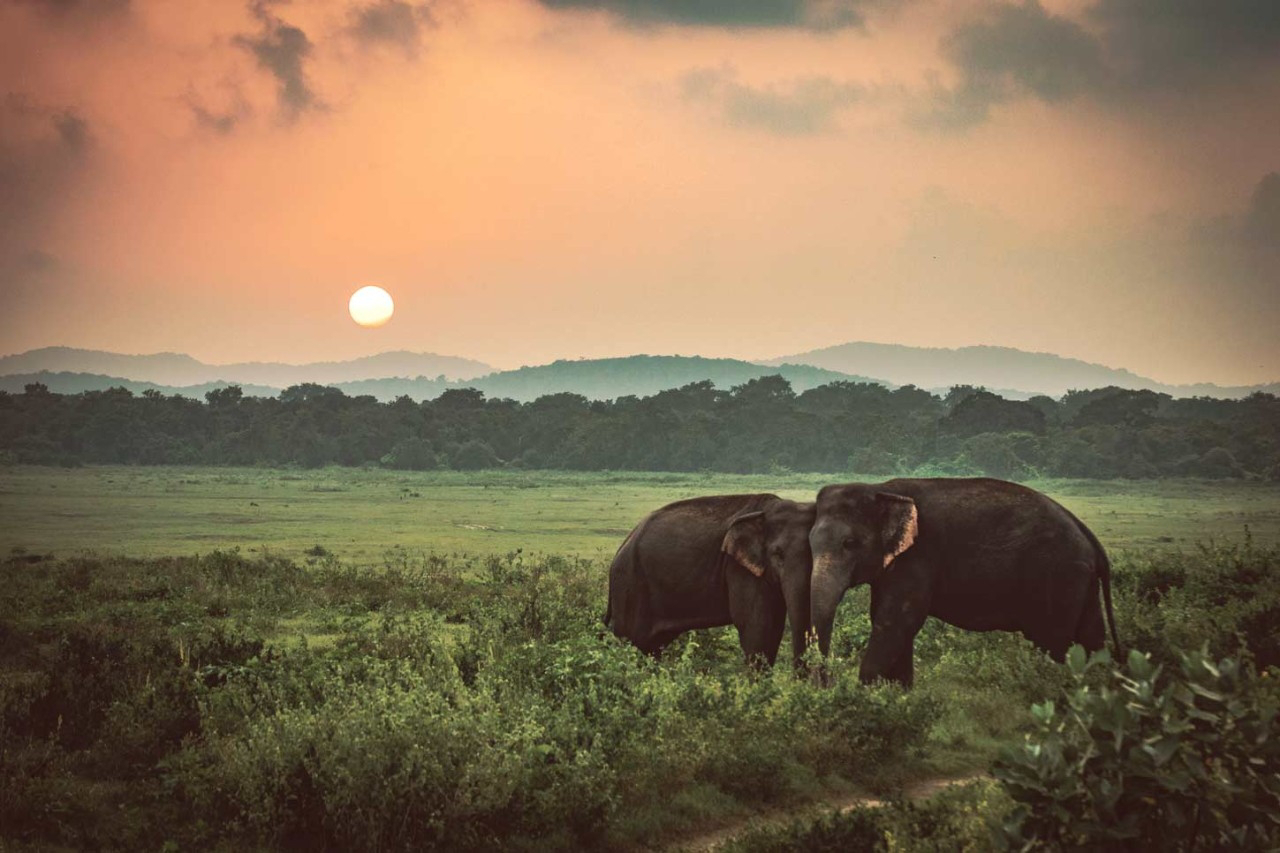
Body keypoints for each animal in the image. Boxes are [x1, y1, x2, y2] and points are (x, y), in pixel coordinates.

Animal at [601, 491, 819, 666]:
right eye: (777, 554)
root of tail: (622, 547)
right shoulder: (738, 568)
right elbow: (758, 627)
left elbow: (773, 628)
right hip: (630, 586)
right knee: (632, 641)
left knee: (651, 647)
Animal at [808, 479, 1121, 686]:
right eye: (809, 543)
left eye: (850, 543)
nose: (827, 682)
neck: (879, 488)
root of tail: (1089, 537)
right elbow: (890, 622)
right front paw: (898, 695)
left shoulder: (918, 557)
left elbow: (896, 621)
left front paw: (865, 693)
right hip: (1080, 581)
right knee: (1091, 638)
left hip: (1058, 577)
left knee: (1052, 641)